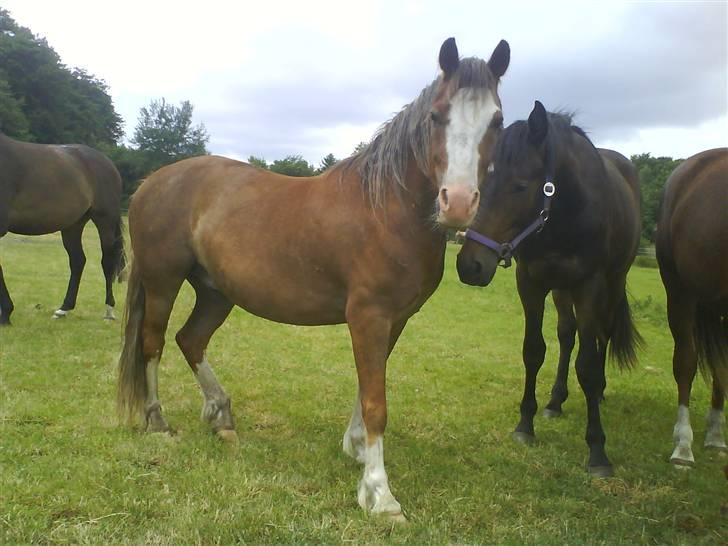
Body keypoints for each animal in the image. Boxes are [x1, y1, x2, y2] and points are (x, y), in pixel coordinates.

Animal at [0, 132, 126, 325]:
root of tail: (107, 162)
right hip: (73, 225)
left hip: (105, 220)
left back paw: (109, 310)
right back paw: (63, 309)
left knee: (107, 261)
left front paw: (6, 313)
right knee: (78, 261)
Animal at [117, 37, 510, 520]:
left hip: (215, 291)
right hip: (163, 281)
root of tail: (152, 181)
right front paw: (380, 494)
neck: (385, 209)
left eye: (497, 120)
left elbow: (367, 386)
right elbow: (376, 401)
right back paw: (157, 421)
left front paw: (356, 449)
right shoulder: (368, 316)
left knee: (190, 340)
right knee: (152, 343)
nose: (457, 203)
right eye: (437, 115)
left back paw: (222, 417)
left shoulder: (394, 320)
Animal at [456, 101, 642, 477]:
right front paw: (525, 424)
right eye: (482, 179)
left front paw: (597, 450)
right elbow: (534, 350)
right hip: (561, 290)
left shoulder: (589, 286)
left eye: (520, 185)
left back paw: (599, 391)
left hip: (611, 283)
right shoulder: (531, 283)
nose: (470, 266)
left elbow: (587, 364)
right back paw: (556, 401)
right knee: (568, 334)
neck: (565, 215)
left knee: (602, 335)